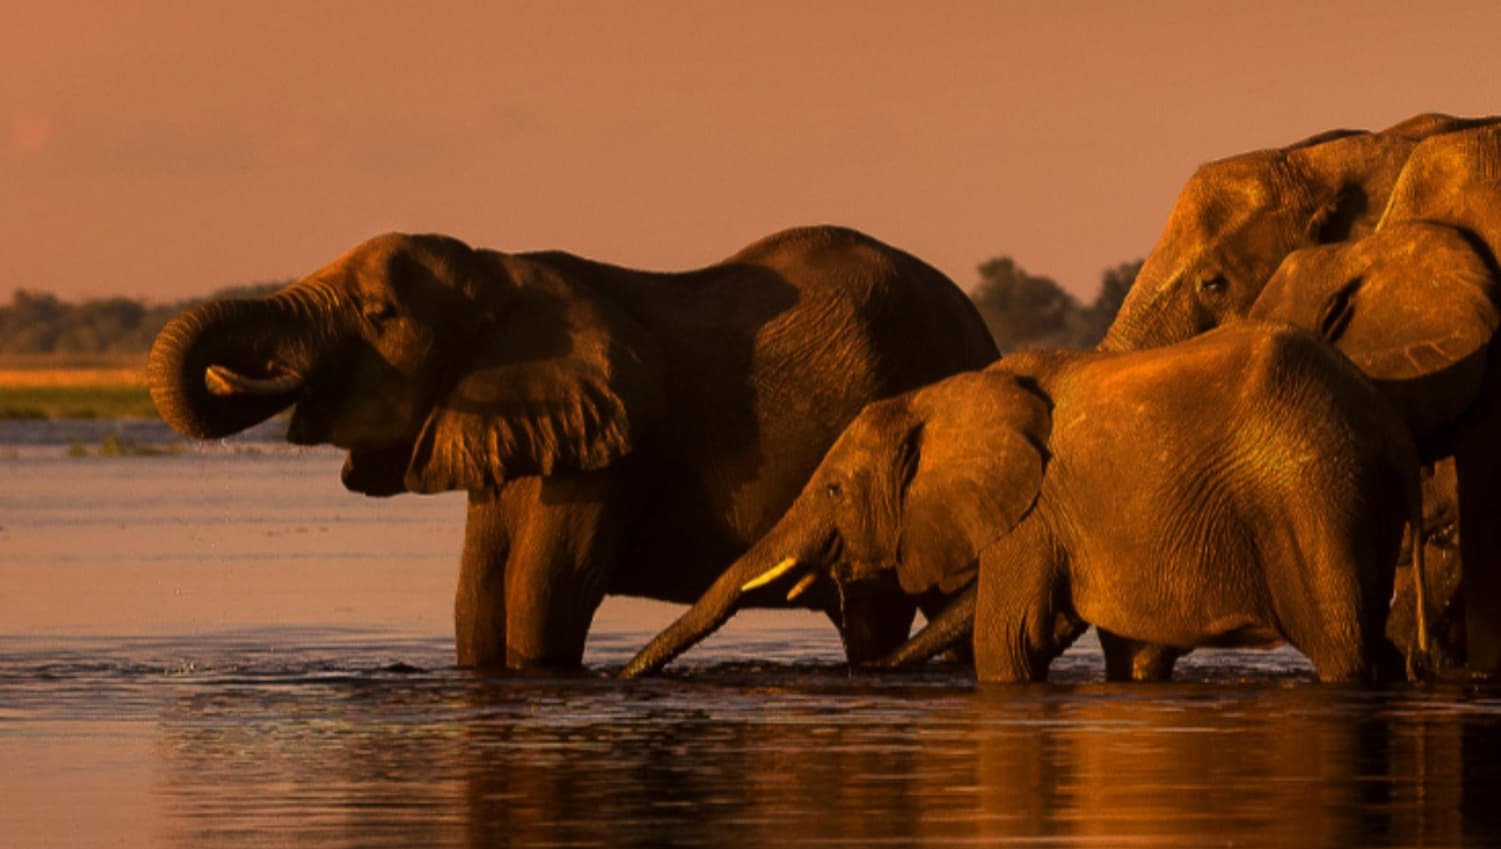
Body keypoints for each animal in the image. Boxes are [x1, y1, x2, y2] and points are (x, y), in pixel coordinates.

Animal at [621, 323, 1422, 684]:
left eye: (833, 489)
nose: (624, 678)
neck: (943, 395)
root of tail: (1387, 425)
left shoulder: (1031, 515)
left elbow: (1006, 637)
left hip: (1315, 497)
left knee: (1344, 646)